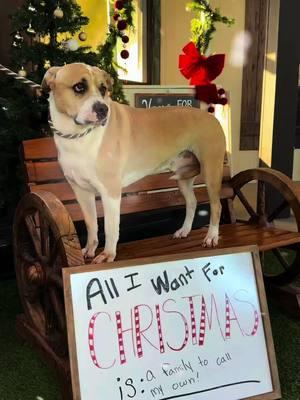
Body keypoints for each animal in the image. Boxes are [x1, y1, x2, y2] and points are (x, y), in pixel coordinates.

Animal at [41, 62, 225, 264]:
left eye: (103, 89)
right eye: (79, 87)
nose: (103, 109)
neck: (78, 136)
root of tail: (212, 117)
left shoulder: (110, 192)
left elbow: (110, 227)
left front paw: (108, 254)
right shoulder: (81, 192)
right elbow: (91, 225)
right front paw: (90, 249)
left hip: (211, 171)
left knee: (216, 206)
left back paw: (211, 237)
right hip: (183, 179)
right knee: (192, 202)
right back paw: (184, 230)